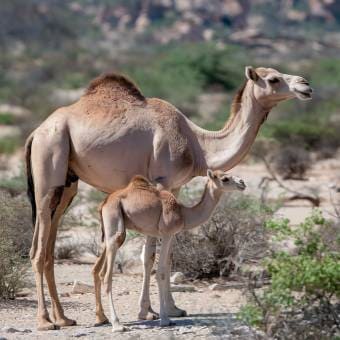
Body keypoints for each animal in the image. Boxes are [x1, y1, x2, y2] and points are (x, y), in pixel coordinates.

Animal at [94, 171, 246, 330]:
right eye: (225, 178)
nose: (242, 183)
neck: (184, 213)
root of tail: (104, 203)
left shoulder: (168, 234)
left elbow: (165, 264)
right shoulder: (167, 233)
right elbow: (160, 272)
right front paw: (165, 319)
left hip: (109, 232)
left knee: (100, 271)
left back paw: (103, 318)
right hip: (115, 222)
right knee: (108, 274)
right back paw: (117, 324)